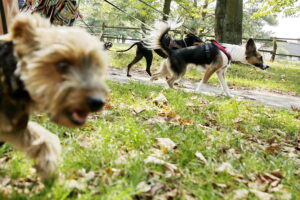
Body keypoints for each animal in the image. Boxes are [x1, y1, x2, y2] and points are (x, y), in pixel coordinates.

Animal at [0, 13, 108, 180]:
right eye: (62, 64)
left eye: (96, 65)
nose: (98, 102)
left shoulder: (13, 124)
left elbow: (44, 138)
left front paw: (47, 167)